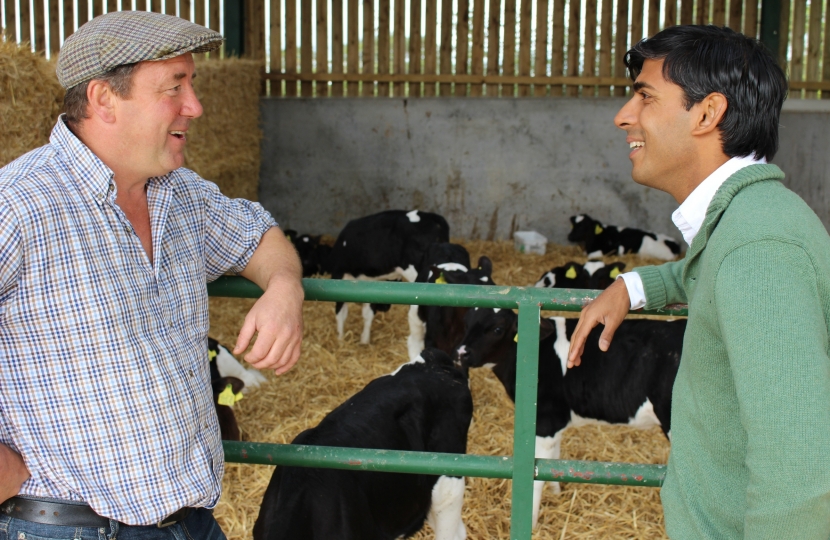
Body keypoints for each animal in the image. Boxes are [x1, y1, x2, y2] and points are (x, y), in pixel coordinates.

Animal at [328, 209, 452, 344]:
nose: (385, 308)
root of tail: (431, 216)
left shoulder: (338, 274)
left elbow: (341, 312)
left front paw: (340, 339)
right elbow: (367, 313)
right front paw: (364, 340)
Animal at [456, 310, 684, 524]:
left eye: (497, 329)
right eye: (466, 322)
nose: (460, 353)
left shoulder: (545, 421)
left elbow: (537, 476)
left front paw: (532, 522)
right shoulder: (555, 422)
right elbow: (553, 461)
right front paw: (556, 493)